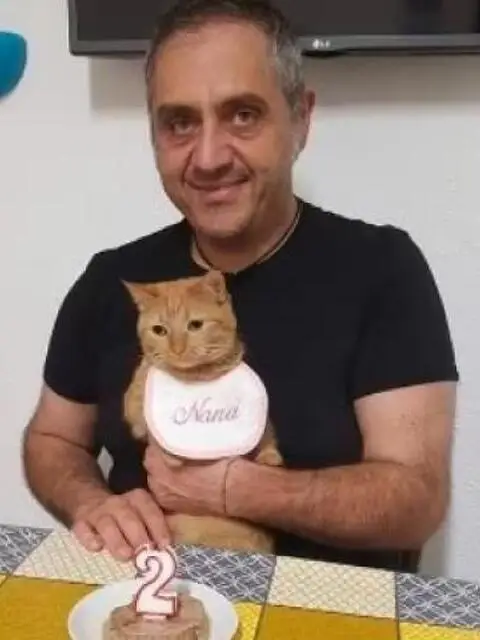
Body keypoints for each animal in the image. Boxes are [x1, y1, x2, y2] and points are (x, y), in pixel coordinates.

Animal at [122, 269, 283, 553]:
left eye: (195, 325)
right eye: (159, 330)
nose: (176, 349)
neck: (197, 377)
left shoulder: (260, 416)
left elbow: (267, 436)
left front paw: (269, 457)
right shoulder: (134, 408)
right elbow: (149, 428)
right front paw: (172, 457)